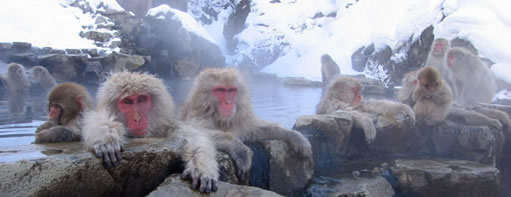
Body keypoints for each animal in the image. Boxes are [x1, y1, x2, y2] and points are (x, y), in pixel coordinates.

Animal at [83, 71, 219, 192]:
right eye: (127, 101)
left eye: (142, 99)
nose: (137, 118)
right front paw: (107, 138)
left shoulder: (169, 126)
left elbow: (194, 136)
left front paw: (201, 167)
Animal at [180, 67, 316, 180]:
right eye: (220, 90)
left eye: (231, 90)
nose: (228, 102)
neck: (220, 118)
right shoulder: (198, 116)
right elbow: (194, 132)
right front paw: (240, 150)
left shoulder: (238, 119)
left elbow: (253, 131)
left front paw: (294, 136)